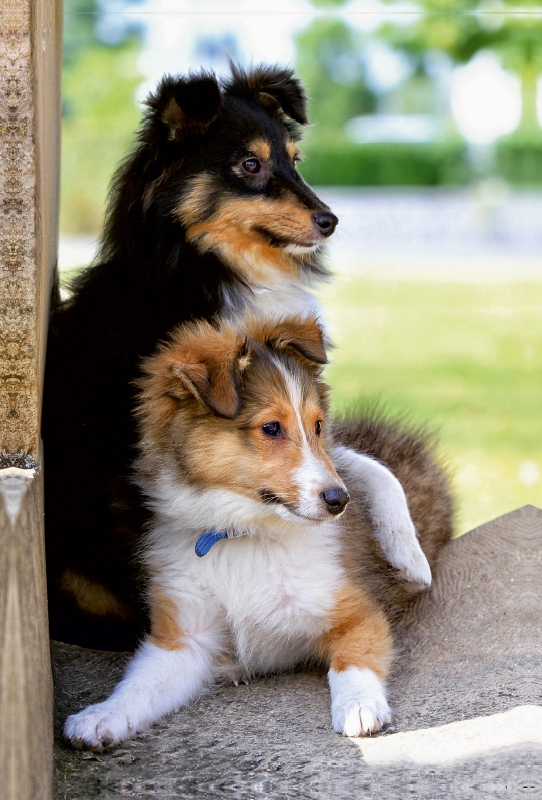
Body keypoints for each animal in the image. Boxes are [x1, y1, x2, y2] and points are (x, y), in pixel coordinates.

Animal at [63, 318, 454, 752]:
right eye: (270, 428)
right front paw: (100, 716)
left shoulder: (357, 613)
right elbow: (138, 687)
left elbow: (353, 662)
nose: (340, 500)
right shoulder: (184, 639)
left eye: (318, 426)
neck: (242, 535)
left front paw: (358, 707)